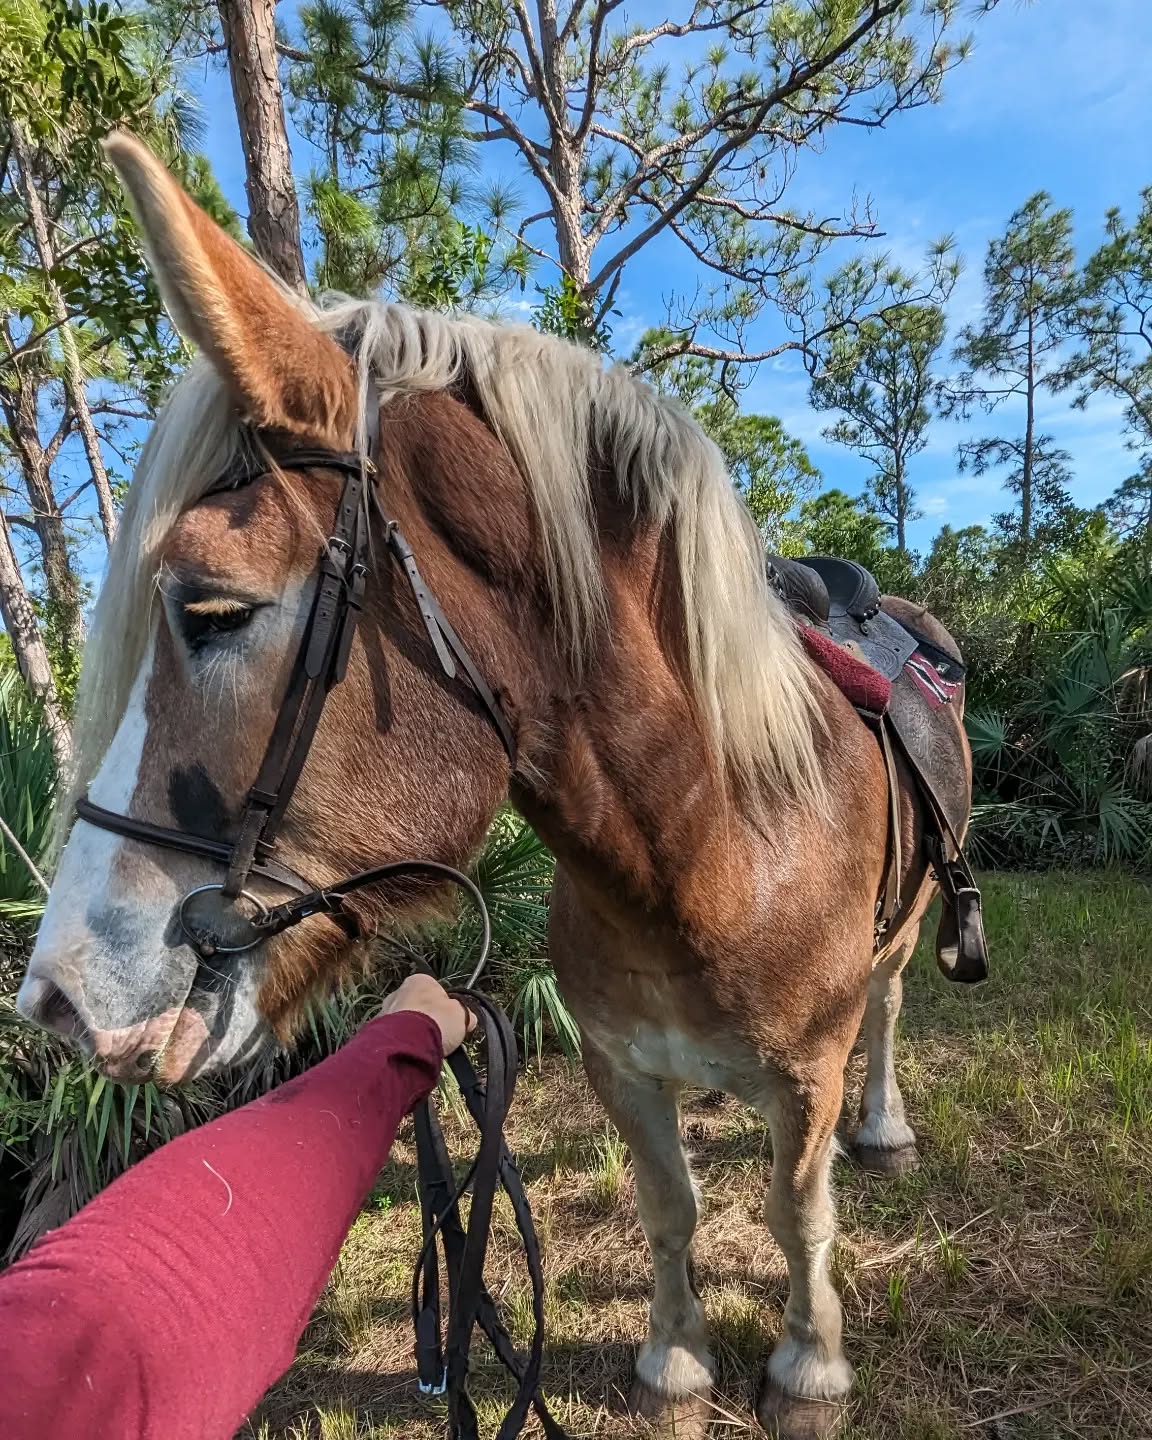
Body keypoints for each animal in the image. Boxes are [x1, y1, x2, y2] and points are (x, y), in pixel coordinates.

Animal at [17, 132, 973, 1440]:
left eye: (211, 609)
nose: (56, 999)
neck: (708, 848)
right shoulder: (622, 1063)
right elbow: (670, 1207)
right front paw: (674, 1357)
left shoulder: (803, 1069)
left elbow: (797, 1211)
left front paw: (807, 1363)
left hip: (902, 943)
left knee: (885, 1014)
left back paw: (881, 1128)